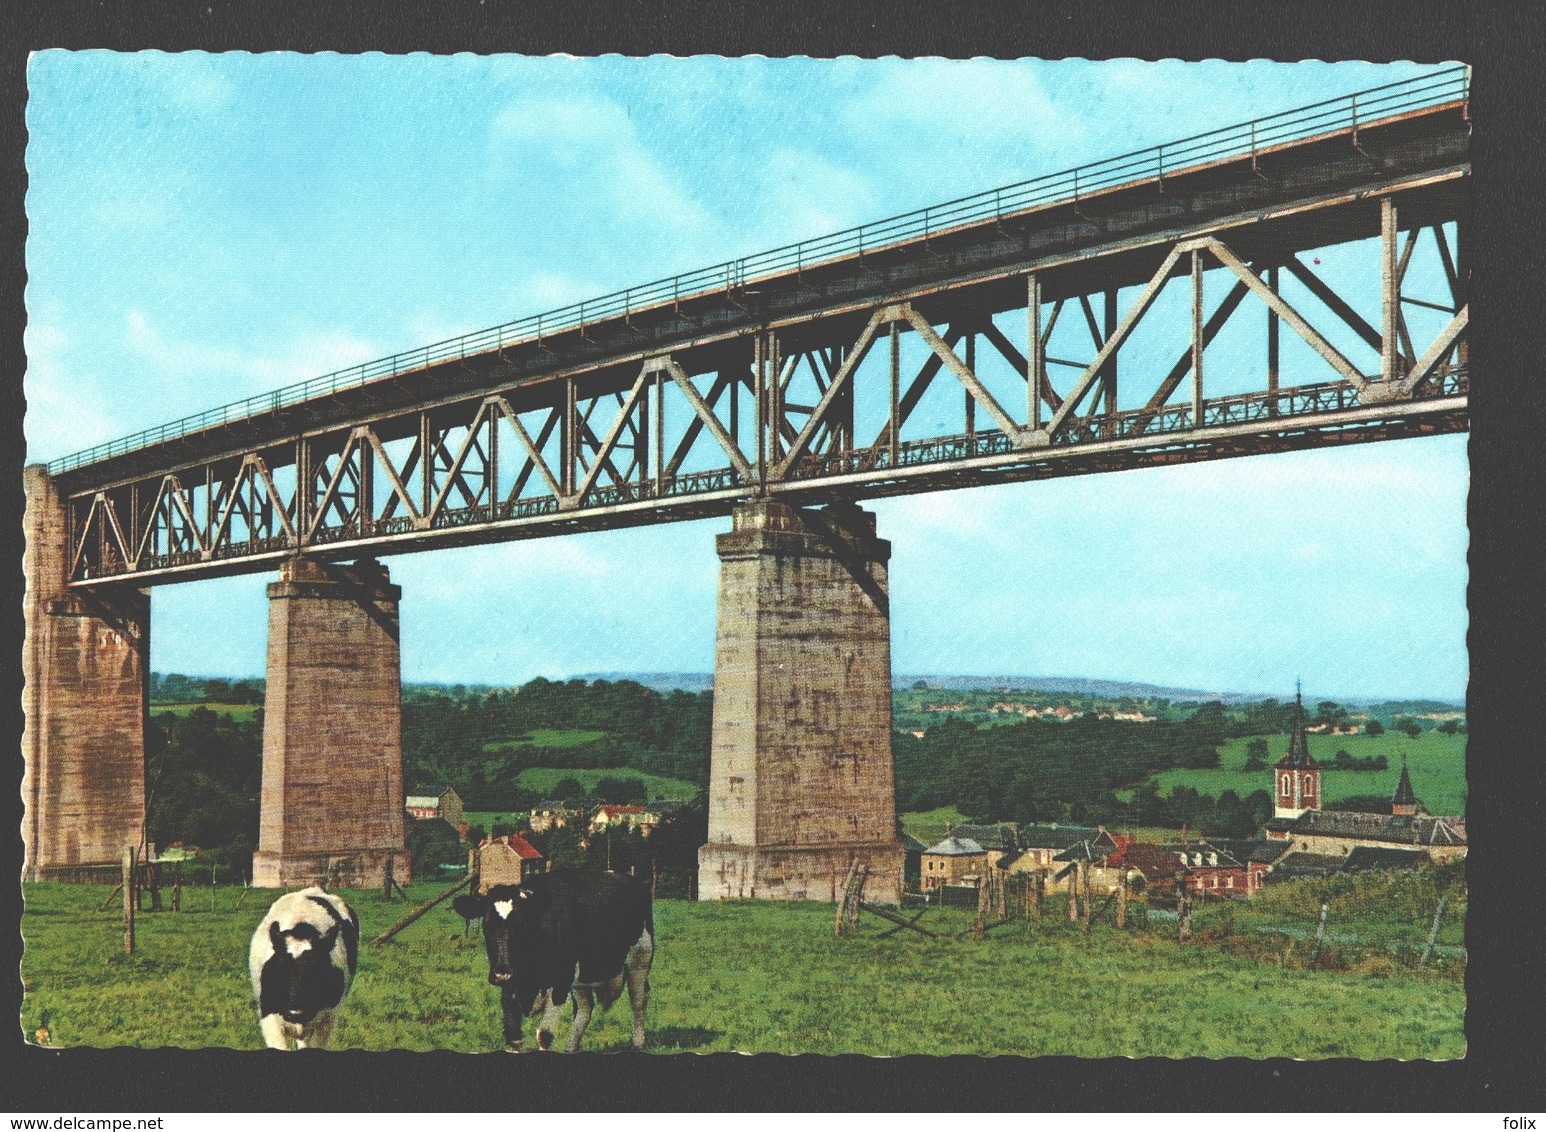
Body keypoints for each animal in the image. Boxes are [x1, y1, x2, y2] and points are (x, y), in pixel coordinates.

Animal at [482, 866, 652, 1051]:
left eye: (522, 925)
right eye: (486, 926)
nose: (502, 973)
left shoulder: (561, 980)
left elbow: (544, 1035)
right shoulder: (511, 986)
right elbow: (514, 1037)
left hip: (640, 959)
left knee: (638, 1000)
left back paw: (638, 1043)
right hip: (582, 977)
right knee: (585, 1009)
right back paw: (571, 1047)